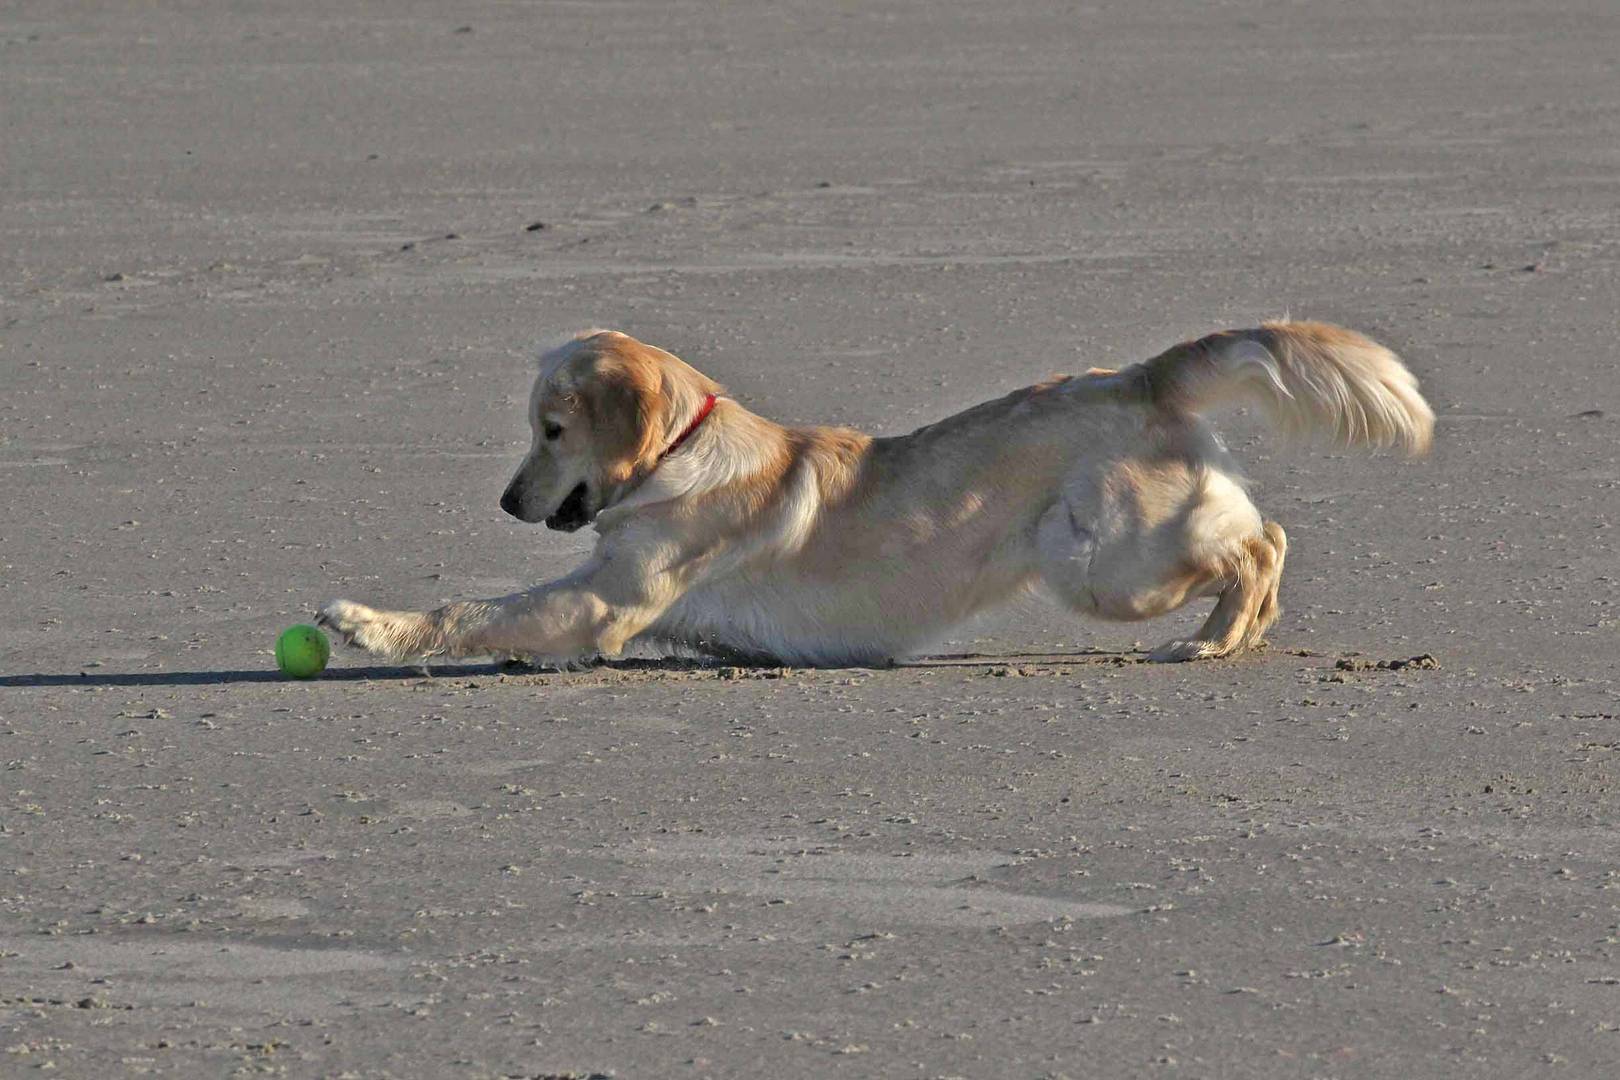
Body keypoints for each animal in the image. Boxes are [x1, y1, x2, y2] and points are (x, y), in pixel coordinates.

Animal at [322, 318, 1438, 667]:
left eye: (550, 430)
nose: (510, 502)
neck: (686, 449)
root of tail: (1140, 373)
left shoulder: (603, 600)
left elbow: (474, 609)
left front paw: (369, 624)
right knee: (1266, 533)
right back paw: (1238, 629)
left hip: (1099, 560)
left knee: (1260, 541)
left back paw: (1218, 635)